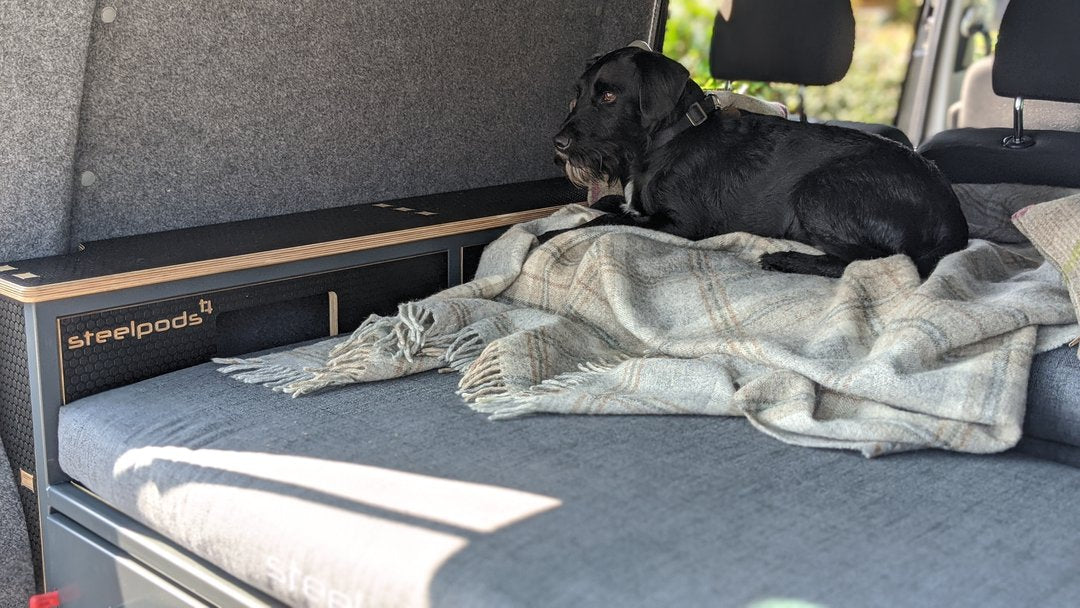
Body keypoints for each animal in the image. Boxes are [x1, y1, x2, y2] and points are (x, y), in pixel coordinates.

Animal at [548, 44, 972, 278]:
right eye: (579, 92)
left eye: (608, 96)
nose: (559, 143)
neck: (669, 140)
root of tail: (953, 220)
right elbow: (608, 205)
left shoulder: (683, 224)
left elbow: (602, 220)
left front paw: (550, 236)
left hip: (818, 190)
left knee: (874, 261)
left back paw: (784, 258)